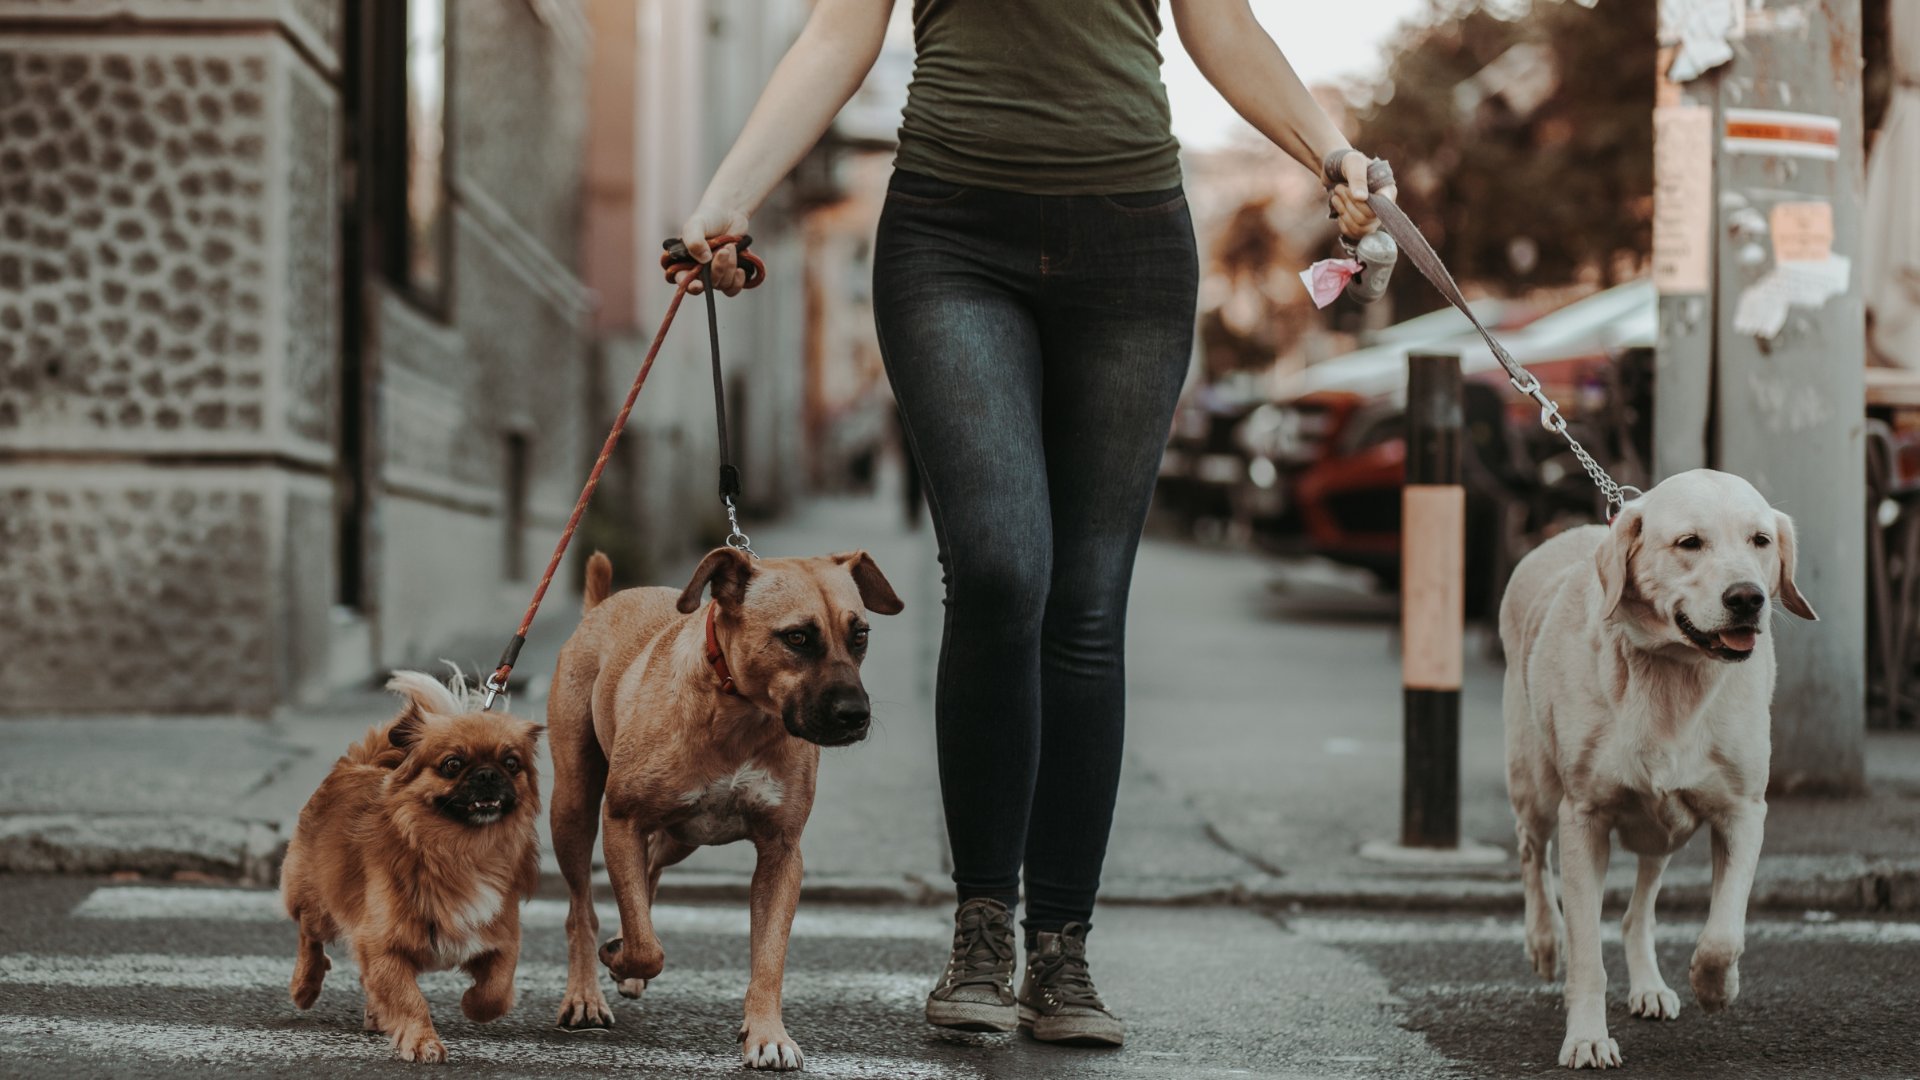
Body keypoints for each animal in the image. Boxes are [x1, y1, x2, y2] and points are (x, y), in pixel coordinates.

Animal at [276, 668, 541, 1060]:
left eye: (511, 763)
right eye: (452, 764)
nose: (488, 774)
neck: (463, 848)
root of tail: (360, 763)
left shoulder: (501, 937)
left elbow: (495, 989)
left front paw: (471, 1004)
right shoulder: (382, 943)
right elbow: (408, 999)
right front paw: (422, 1041)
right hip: (316, 902)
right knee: (309, 936)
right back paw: (305, 985)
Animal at [541, 545, 898, 1068]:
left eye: (861, 635)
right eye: (797, 637)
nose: (856, 715)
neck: (741, 714)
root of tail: (599, 607)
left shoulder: (781, 853)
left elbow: (769, 957)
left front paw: (768, 1034)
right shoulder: (621, 820)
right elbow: (647, 945)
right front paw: (622, 956)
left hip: (680, 837)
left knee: (648, 873)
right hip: (573, 808)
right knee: (581, 909)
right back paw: (585, 993)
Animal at [1497, 470, 1812, 1068]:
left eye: (1760, 540)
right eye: (1690, 542)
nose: (1748, 597)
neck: (1675, 676)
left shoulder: (1743, 812)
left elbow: (1723, 934)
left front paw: (1716, 985)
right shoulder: (1583, 817)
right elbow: (1586, 953)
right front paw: (1587, 1037)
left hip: (1664, 828)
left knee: (1636, 912)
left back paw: (1648, 985)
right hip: (1535, 782)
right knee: (1531, 852)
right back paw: (1544, 939)